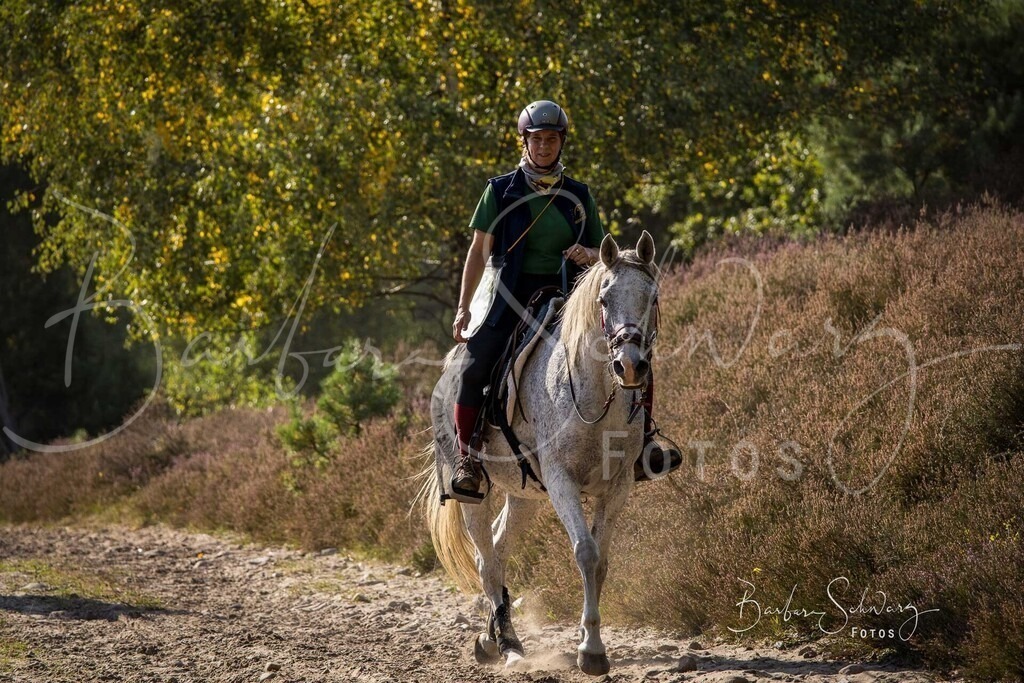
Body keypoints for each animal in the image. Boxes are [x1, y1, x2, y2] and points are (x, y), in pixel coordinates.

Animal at [421, 231, 662, 676]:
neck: (593, 395)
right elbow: (585, 553)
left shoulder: (617, 486)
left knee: (498, 549)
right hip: (473, 493)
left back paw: (491, 637)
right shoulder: (561, 480)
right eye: (604, 299)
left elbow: (601, 561)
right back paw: (508, 644)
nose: (630, 365)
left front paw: (590, 640)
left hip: (524, 496)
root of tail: (448, 367)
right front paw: (591, 651)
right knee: (486, 559)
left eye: (652, 297)